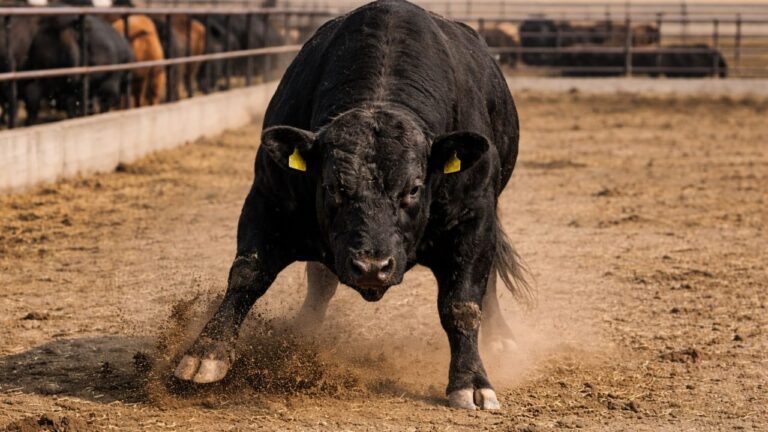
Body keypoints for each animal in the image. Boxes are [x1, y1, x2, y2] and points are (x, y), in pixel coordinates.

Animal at [173, 0, 530, 410]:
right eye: (332, 186)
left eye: (414, 187)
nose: (372, 267)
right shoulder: (266, 201)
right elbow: (248, 274)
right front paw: (205, 353)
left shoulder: (474, 220)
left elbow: (462, 303)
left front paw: (471, 381)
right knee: (320, 279)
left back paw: (501, 338)